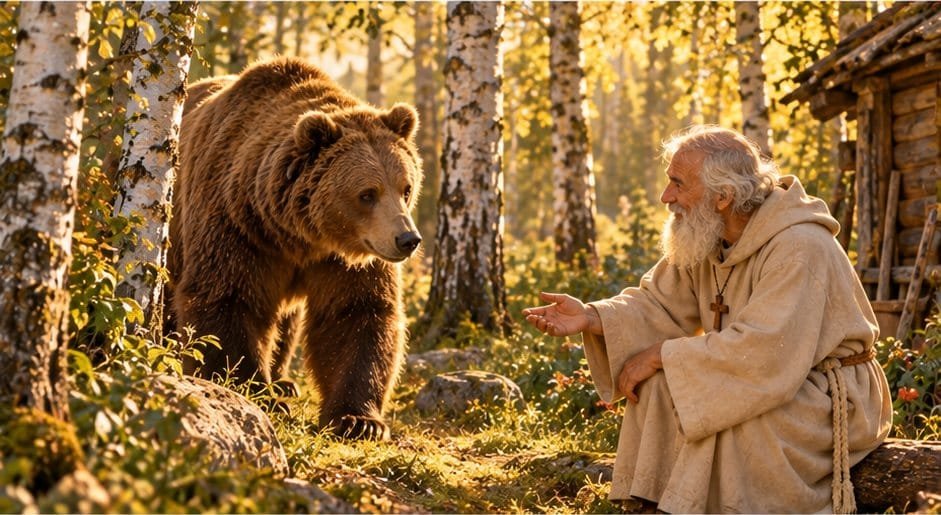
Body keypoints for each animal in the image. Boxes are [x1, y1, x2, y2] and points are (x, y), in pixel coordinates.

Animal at [166, 57, 423, 441]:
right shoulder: (236, 226)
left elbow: (356, 313)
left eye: (405, 187)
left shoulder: (346, 259)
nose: (407, 239)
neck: (300, 235)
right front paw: (254, 392)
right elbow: (227, 298)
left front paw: (358, 420)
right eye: (367, 193)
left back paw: (284, 381)